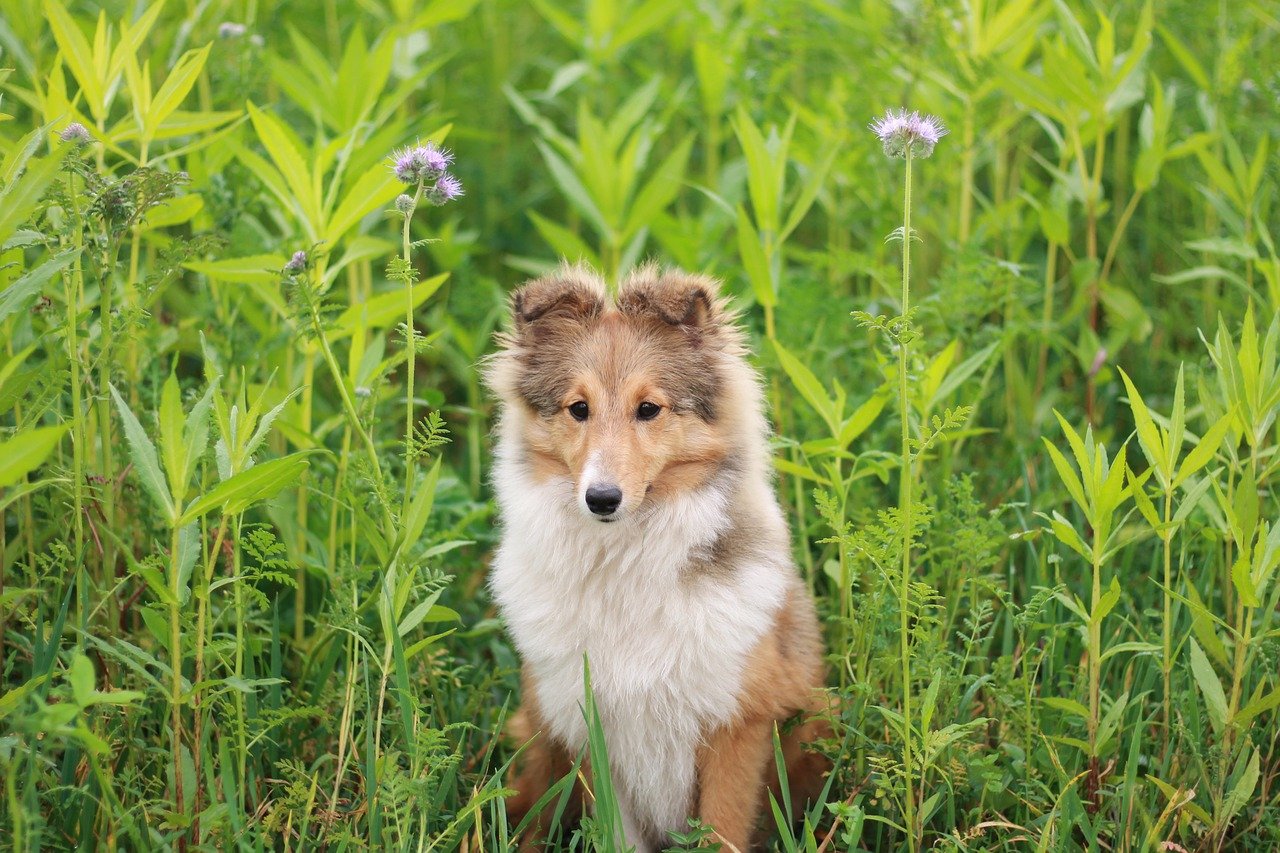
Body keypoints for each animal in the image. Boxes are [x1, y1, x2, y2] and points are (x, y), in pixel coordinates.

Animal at [481, 262, 829, 845]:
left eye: (649, 409)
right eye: (578, 409)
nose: (601, 499)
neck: (625, 565)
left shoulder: (736, 725)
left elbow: (722, 830)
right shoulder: (592, 734)